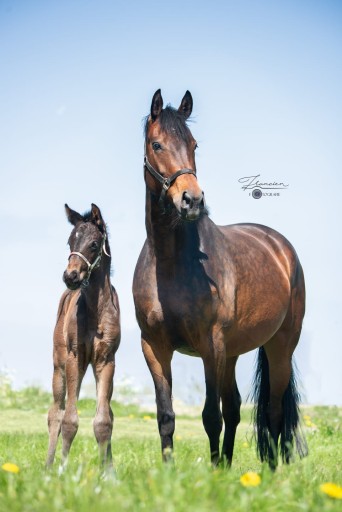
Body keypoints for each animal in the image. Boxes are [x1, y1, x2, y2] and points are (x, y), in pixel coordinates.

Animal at [45, 204, 120, 472]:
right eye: (70, 241)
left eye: (94, 244)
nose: (71, 276)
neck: (96, 310)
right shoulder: (74, 357)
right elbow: (69, 419)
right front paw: (62, 470)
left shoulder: (106, 360)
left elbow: (104, 420)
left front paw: (108, 473)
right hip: (59, 366)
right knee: (55, 413)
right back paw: (48, 466)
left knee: (108, 412)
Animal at [133, 89, 308, 468]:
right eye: (157, 144)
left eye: (194, 144)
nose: (192, 200)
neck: (171, 265)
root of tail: (280, 246)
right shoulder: (154, 346)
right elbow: (166, 415)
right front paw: (170, 473)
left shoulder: (210, 345)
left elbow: (210, 416)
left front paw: (213, 474)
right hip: (232, 353)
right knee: (236, 407)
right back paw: (228, 466)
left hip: (279, 345)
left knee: (273, 411)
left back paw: (271, 472)